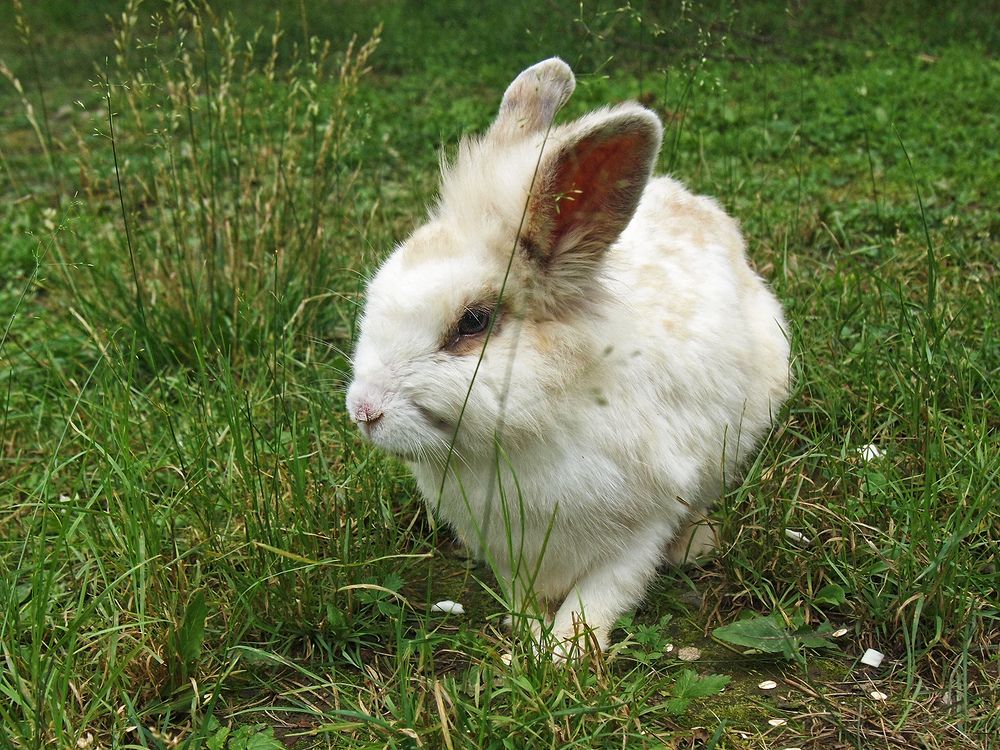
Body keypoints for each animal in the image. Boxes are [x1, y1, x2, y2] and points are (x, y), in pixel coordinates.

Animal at [346, 58, 790, 657]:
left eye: (473, 322)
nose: (363, 411)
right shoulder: (507, 549)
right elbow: (522, 595)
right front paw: (529, 640)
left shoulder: (639, 528)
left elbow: (600, 596)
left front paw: (565, 654)